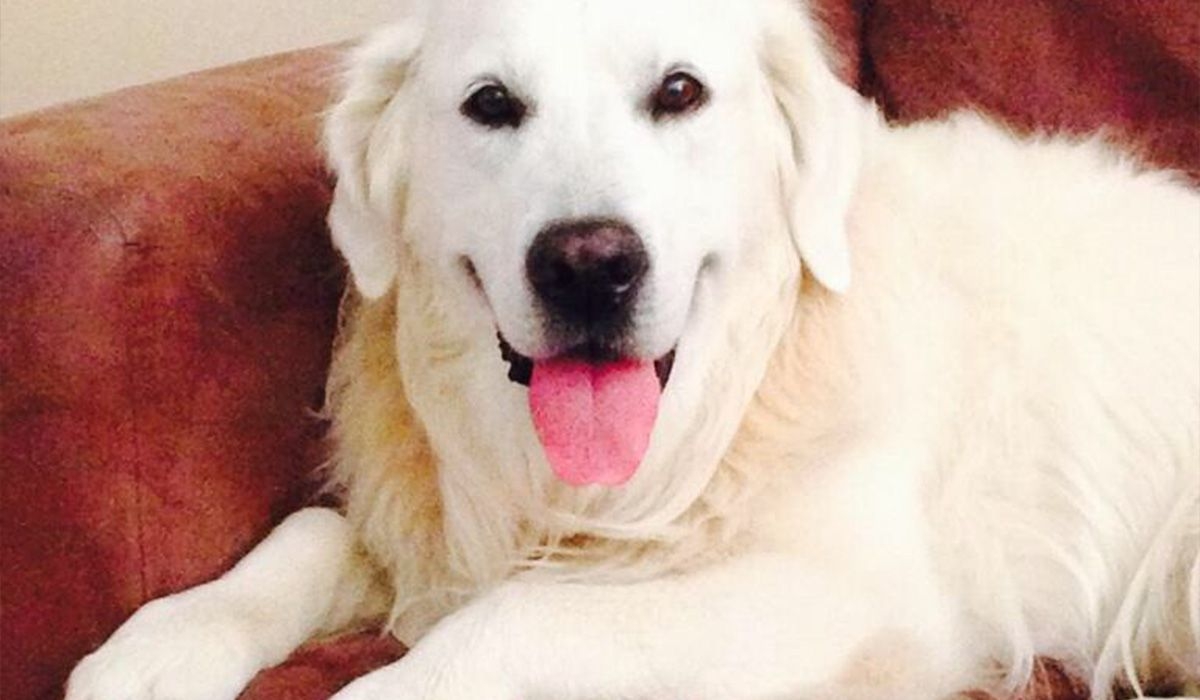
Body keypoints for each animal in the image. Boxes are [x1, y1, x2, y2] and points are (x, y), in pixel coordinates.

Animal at [68, 1, 1200, 700]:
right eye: (491, 104)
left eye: (680, 92)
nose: (588, 265)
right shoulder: (435, 528)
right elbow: (310, 533)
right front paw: (162, 644)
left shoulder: (854, 593)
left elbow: (517, 618)